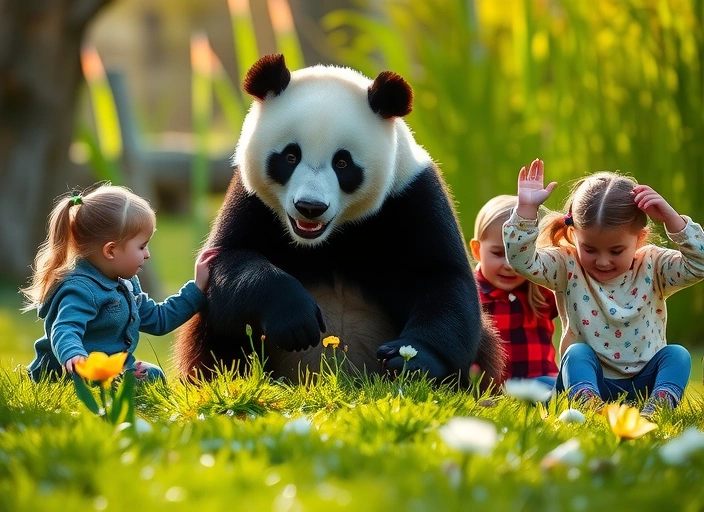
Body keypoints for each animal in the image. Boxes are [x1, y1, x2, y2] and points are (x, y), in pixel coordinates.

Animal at [174, 54, 506, 384]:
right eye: (290, 156)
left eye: (343, 163)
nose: (310, 207)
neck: (326, 241)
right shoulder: (250, 199)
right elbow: (229, 261)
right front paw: (296, 318)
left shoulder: (412, 195)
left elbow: (442, 278)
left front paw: (411, 358)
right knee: (212, 337)